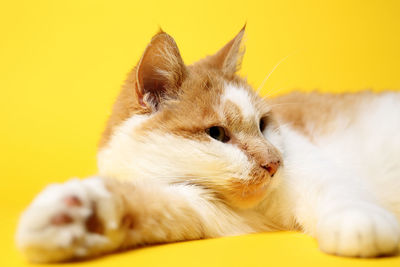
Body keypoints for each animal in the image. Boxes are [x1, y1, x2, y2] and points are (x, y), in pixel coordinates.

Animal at [15, 27, 400, 264]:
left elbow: (337, 189)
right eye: (217, 134)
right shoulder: (198, 206)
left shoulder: (310, 165)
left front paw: (359, 221)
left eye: (263, 125)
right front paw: (76, 218)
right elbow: (145, 205)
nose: (275, 163)